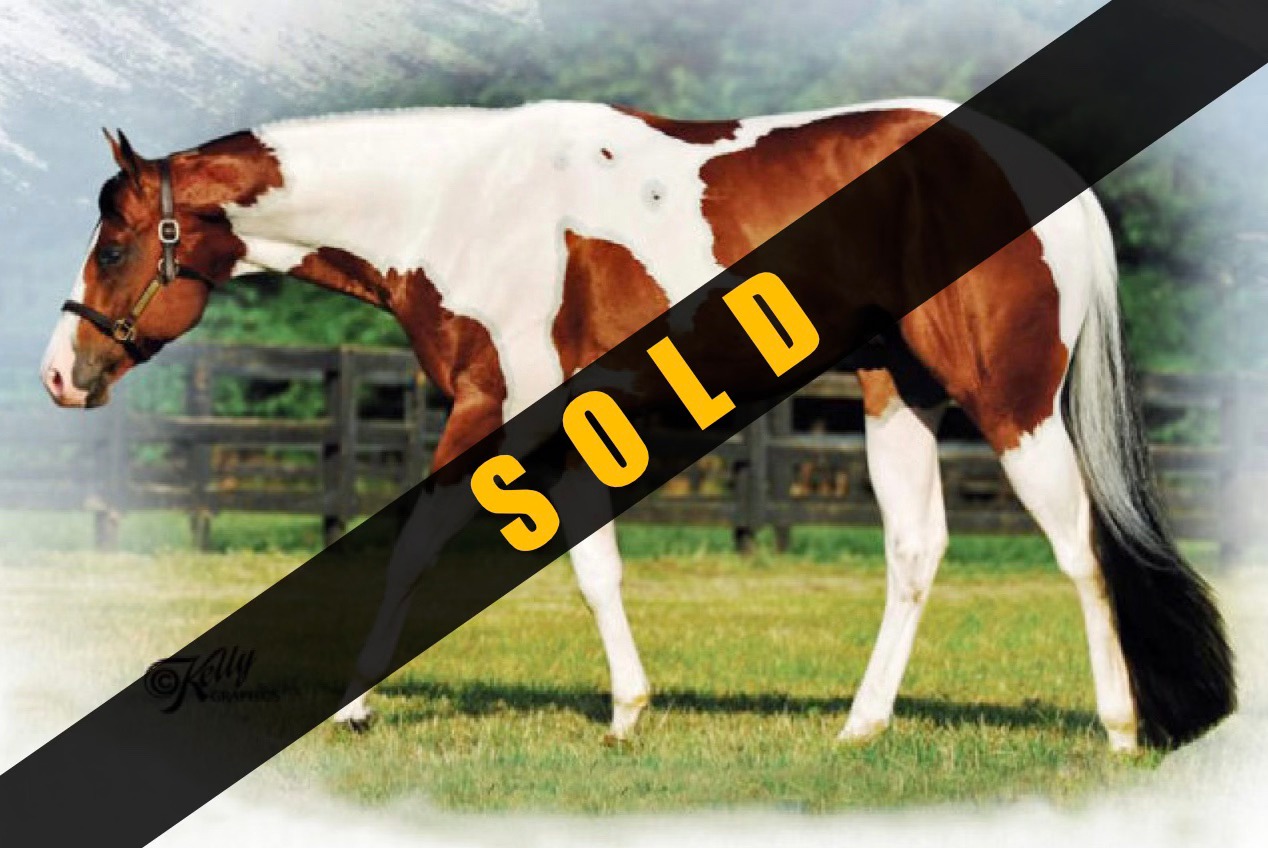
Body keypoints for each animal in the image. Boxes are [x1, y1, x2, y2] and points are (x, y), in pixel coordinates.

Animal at [44, 95, 1232, 750]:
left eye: (114, 244)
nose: (62, 373)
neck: (457, 201)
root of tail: (1041, 173)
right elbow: (546, 560)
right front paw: (620, 708)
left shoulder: (507, 406)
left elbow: (461, 551)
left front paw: (363, 708)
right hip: (897, 394)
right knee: (915, 549)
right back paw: (859, 727)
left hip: (1009, 402)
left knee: (1078, 547)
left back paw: (1119, 730)